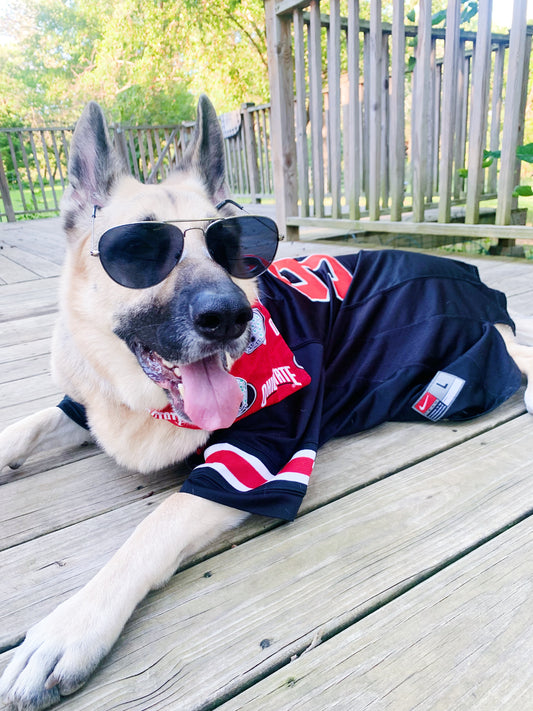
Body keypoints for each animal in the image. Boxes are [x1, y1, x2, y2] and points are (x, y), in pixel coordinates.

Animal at [1, 94, 533, 710]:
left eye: (231, 247)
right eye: (138, 251)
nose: (231, 318)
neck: (147, 402)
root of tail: (469, 275)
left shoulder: (253, 461)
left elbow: (152, 530)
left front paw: (71, 627)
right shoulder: (87, 405)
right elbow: (31, 424)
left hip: (461, 354)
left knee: (514, 349)